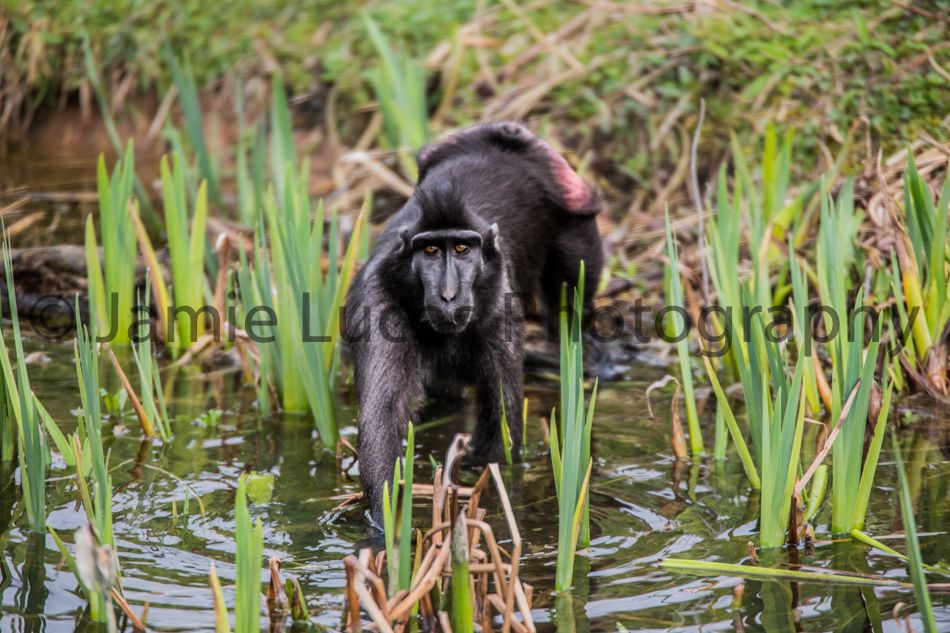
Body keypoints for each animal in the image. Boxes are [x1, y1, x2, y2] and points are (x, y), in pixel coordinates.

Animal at [344, 121, 604, 524]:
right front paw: (386, 526)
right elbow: (381, 418)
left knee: (573, 295)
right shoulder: (377, 307)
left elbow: (501, 425)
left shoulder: (500, 310)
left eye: (463, 249)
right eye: (431, 250)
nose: (449, 295)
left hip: (575, 213)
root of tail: (498, 132)